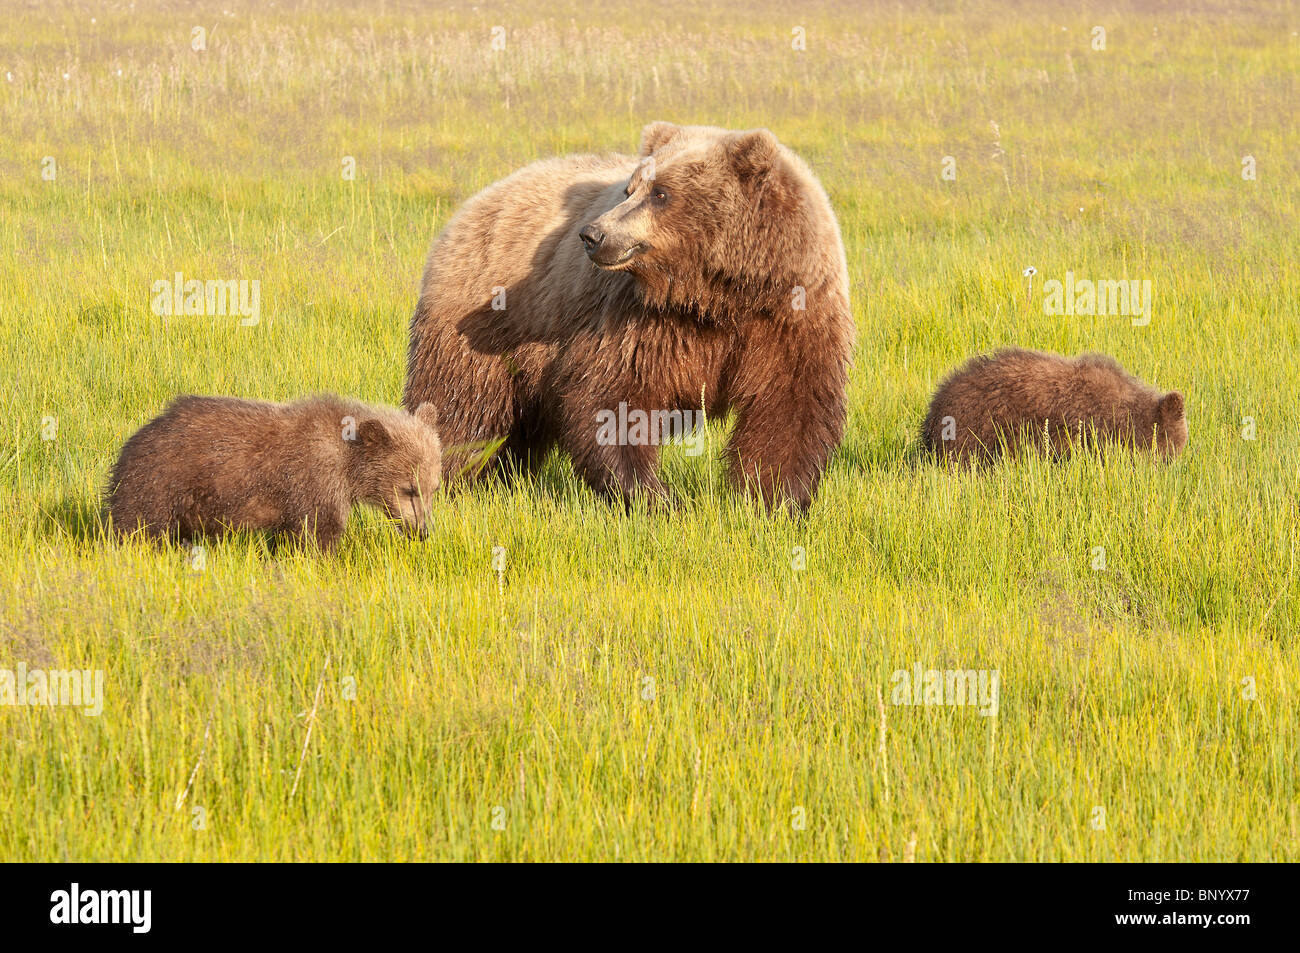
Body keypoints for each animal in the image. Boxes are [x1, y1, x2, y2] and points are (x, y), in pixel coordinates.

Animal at [106, 395, 442, 550]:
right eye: (409, 489)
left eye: (433, 488)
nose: (423, 531)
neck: (348, 466)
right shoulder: (313, 481)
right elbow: (317, 533)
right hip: (160, 482)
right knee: (139, 528)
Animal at [404, 122, 855, 511]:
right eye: (630, 188)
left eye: (661, 193)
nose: (592, 234)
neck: (718, 296)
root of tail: (476, 201)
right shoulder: (639, 320)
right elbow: (612, 397)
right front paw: (656, 498)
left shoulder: (791, 319)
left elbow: (790, 407)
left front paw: (772, 499)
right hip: (486, 323)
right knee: (461, 406)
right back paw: (448, 477)